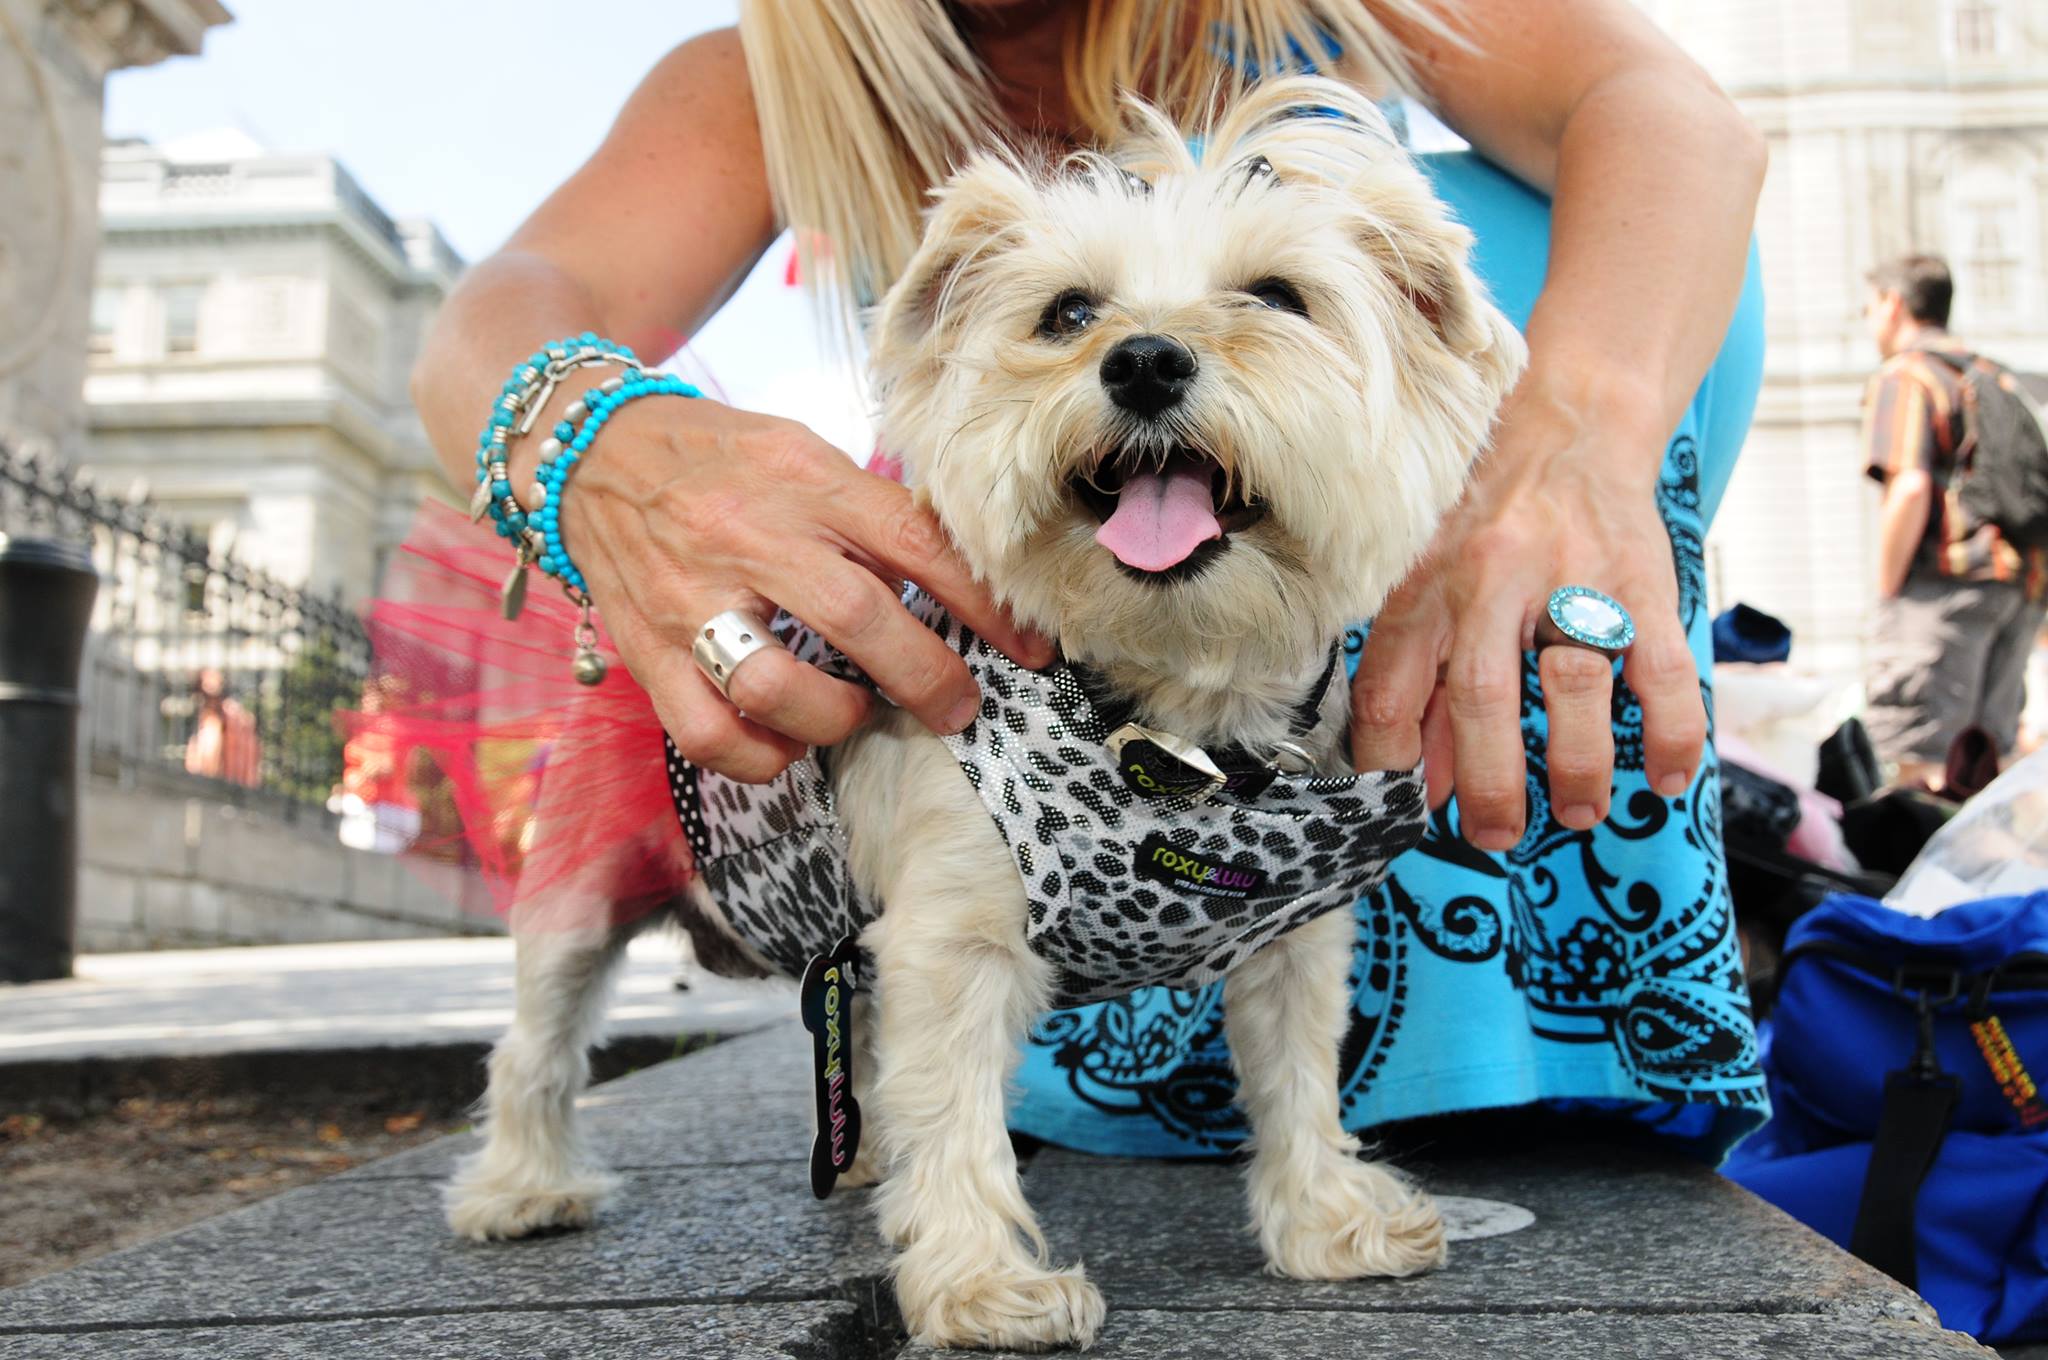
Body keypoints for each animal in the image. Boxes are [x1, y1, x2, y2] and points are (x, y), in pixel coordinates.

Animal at [444, 79, 1523, 1351]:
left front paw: (1327, 1220)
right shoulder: (952, 933)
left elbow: (1297, 1074)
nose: (1143, 361)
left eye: (1276, 295)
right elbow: (954, 1110)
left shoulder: (1289, 936)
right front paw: (978, 1285)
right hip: (582, 884)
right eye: (1067, 312)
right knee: (534, 1039)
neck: (1166, 708)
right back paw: (520, 1188)